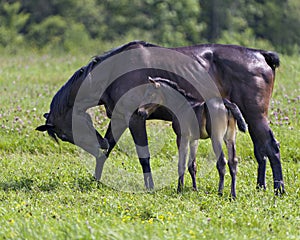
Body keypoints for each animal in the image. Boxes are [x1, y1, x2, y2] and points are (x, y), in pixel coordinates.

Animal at [35, 40, 284, 194]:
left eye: (65, 134)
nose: (97, 143)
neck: (114, 71)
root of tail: (261, 55)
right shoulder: (120, 118)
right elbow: (107, 150)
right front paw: (96, 179)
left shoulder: (135, 118)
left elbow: (144, 156)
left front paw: (150, 187)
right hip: (246, 120)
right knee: (260, 150)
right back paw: (261, 187)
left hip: (255, 116)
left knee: (270, 147)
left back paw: (278, 188)